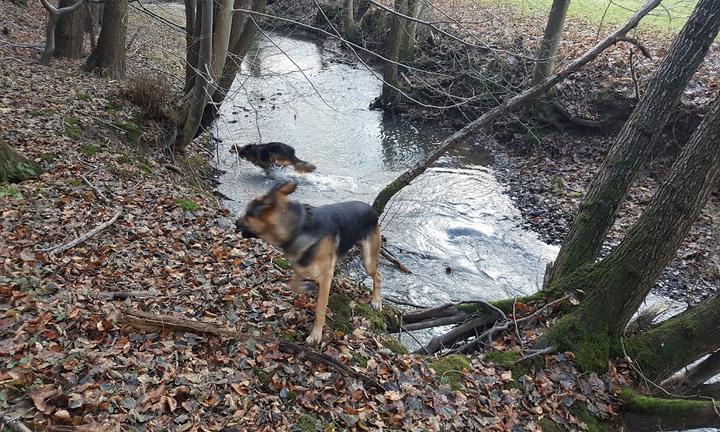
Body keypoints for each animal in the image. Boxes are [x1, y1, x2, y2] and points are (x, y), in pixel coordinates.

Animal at [236, 181, 382, 344]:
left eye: (248, 213)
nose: (235, 222)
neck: (298, 227)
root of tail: (372, 210)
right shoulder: (302, 266)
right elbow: (293, 284)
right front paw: (307, 287)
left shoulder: (324, 276)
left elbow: (320, 309)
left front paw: (315, 336)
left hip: (368, 260)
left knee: (378, 276)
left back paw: (376, 301)